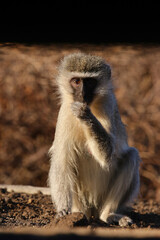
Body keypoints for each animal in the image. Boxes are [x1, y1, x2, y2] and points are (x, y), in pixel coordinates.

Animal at [48, 52, 141, 227]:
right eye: (77, 81)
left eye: (90, 82)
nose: (82, 94)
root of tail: (92, 211)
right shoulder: (64, 112)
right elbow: (62, 162)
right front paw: (62, 210)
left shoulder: (108, 104)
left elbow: (107, 153)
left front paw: (85, 114)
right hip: (83, 201)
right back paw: (77, 215)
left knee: (132, 156)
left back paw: (109, 215)